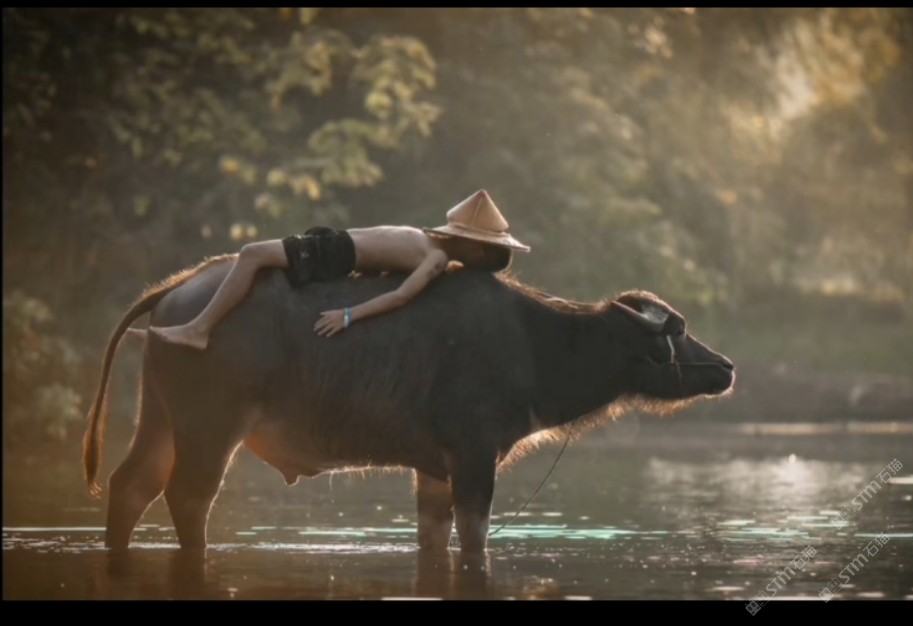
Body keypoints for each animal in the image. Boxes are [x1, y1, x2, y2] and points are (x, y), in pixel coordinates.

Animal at [83, 257, 735, 553]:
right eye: (677, 330)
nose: (726, 368)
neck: (533, 343)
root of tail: (180, 288)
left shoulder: (433, 468)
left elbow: (433, 533)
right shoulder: (474, 455)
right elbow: (475, 536)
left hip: (160, 418)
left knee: (131, 485)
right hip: (211, 426)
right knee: (188, 497)